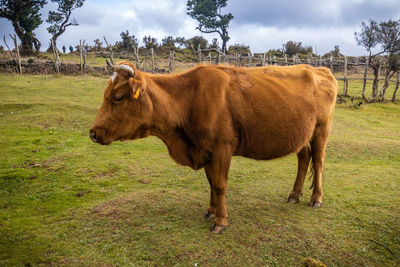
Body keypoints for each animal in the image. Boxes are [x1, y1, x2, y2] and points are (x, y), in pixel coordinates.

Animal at [89, 61, 336, 234]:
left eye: (117, 97)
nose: (93, 133)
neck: (190, 99)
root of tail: (320, 69)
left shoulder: (222, 148)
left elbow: (219, 185)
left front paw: (221, 221)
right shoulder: (205, 149)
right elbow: (210, 183)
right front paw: (211, 211)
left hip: (321, 130)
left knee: (318, 162)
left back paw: (316, 198)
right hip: (302, 135)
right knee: (304, 160)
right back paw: (294, 194)